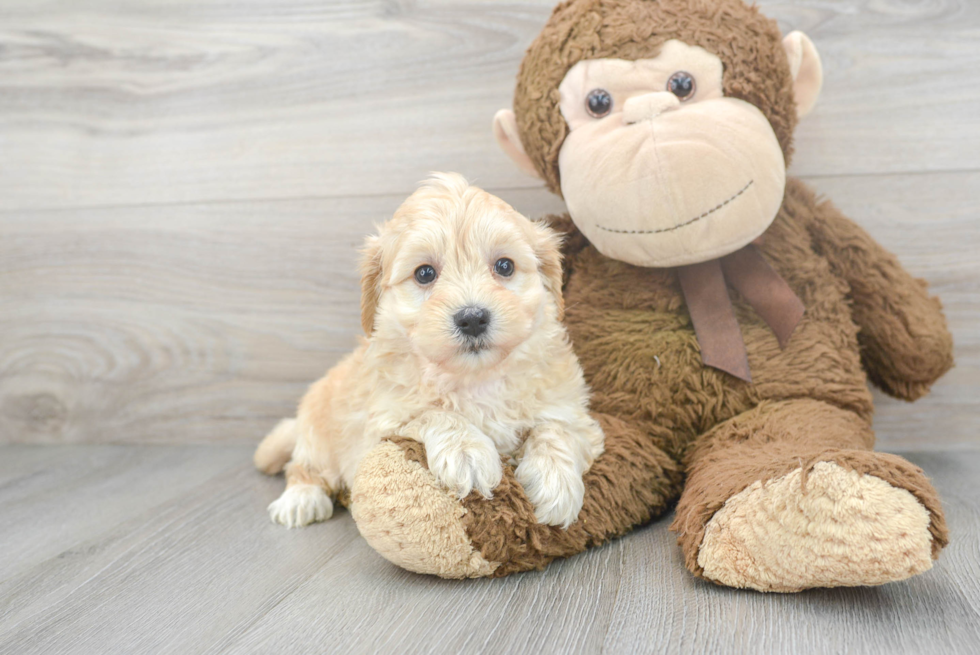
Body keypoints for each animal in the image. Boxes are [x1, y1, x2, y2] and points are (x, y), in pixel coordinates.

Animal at [253, 176, 604, 532]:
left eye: (505, 266)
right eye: (424, 273)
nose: (472, 318)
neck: (476, 378)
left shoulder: (573, 412)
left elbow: (556, 429)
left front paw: (555, 479)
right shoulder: (381, 423)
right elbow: (432, 414)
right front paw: (468, 451)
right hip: (318, 433)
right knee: (303, 468)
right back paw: (301, 499)